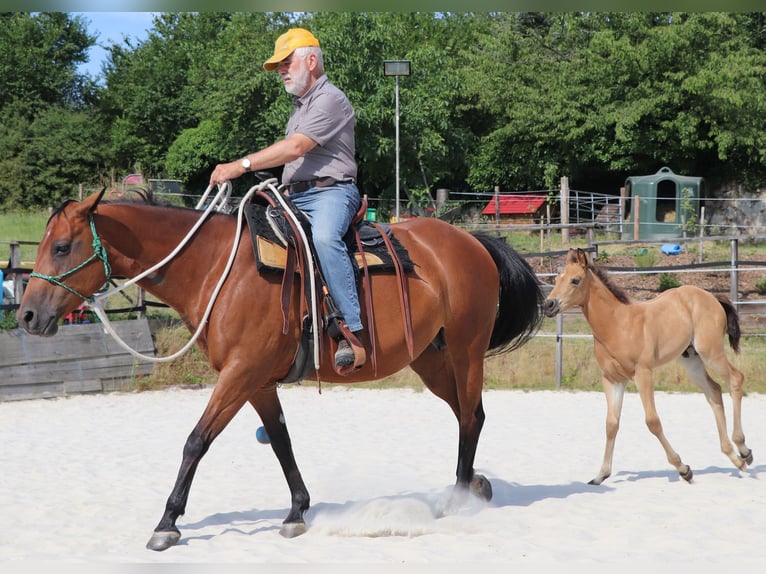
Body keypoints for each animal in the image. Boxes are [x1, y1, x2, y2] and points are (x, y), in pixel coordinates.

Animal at [17, 187, 544, 552]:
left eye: (61, 247)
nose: (26, 316)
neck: (217, 268)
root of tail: (470, 242)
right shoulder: (256, 381)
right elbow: (281, 441)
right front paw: (296, 511)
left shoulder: (239, 373)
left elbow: (196, 441)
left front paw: (167, 523)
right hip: (430, 359)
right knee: (467, 414)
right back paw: (473, 484)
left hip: (466, 349)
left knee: (471, 416)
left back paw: (458, 498)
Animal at [542, 247, 753, 485]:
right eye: (557, 279)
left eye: (575, 280)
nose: (548, 305)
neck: (617, 325)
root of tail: (711, 297)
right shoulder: (613, 379)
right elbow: (611, 424)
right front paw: (601, 475)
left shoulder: (643, 373)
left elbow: (652, 421)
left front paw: (683, 469)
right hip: (691, 359)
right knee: (714, 391)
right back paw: (733, 455)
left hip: (711, 352)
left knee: (735, 379)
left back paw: (743, 450)